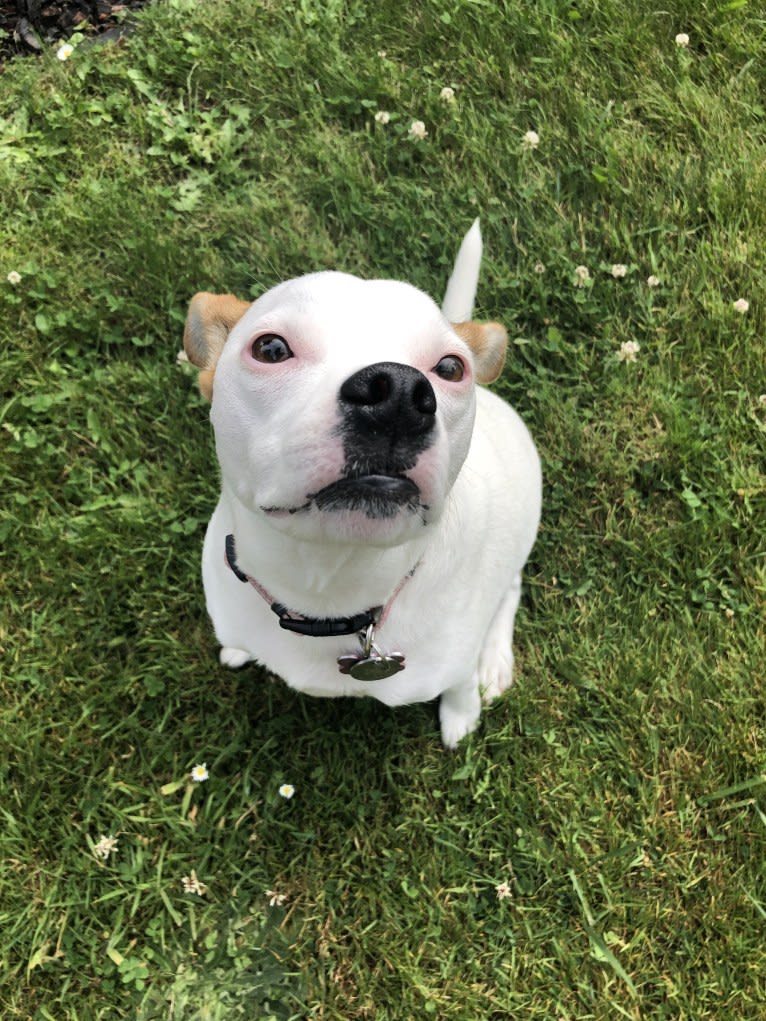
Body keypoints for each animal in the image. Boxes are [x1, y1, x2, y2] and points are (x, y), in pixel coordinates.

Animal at [182, 221, 543, 751]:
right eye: (271, 348)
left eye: (450, 368)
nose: (398, 395)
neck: (329, 587)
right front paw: (239, 650)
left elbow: (458, 686)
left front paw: (461, 713)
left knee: (509, 589)